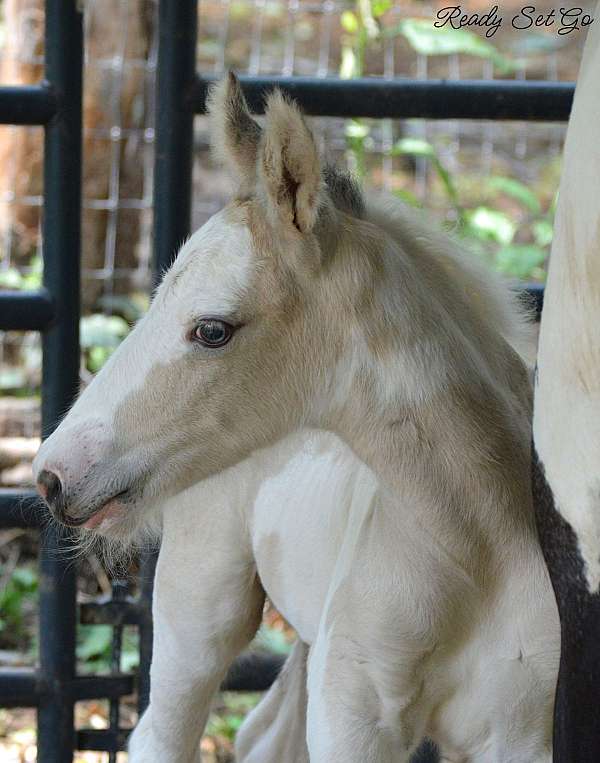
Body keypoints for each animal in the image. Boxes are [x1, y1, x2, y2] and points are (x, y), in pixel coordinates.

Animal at [32, 73, 556, 763]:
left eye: (213, 329)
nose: (53, 474)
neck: (484, 545)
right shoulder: (354, 717)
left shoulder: (523, 732)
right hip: (200, 606)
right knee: (161, 733)